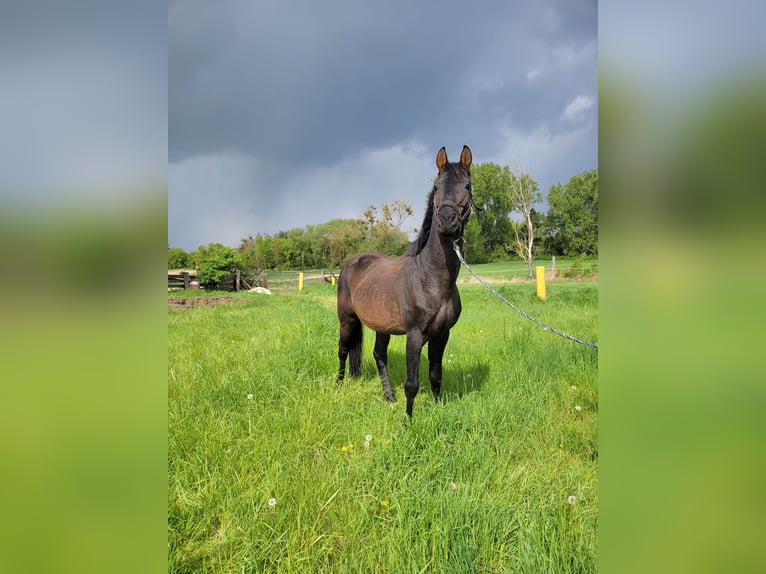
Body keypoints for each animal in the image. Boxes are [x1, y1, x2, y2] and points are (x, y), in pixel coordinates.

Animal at [338, 146, 474, 420]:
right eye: (436, 187)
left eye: (467, 185)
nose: (446, 220)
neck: (431, 278)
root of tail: (353, 262)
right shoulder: (414, 335)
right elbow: (412, 383)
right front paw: (407, 421)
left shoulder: (442, 335)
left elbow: (435, 375)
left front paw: (436, 409)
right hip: (347, 320)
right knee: (343, 350)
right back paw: (338, 387)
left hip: (382, 326)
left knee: (379, 355)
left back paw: (388, 397)